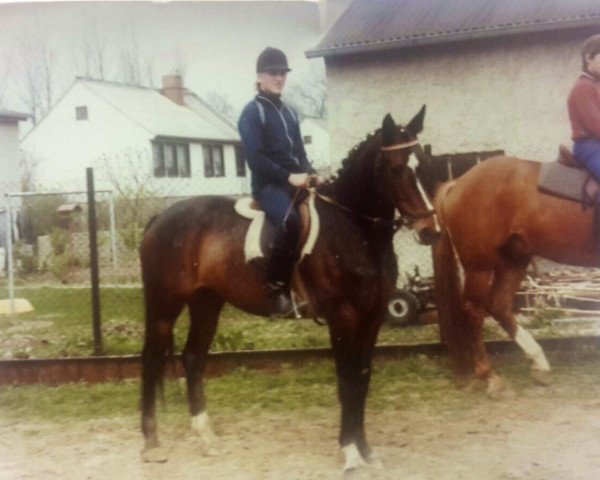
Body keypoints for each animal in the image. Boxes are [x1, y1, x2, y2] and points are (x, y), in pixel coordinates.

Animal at [141, 106, 440, 472]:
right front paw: (350, 453)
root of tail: (159, 218)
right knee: (151, 359)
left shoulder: (372, 317)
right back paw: (152, 443)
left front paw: (367, 450)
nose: (430, 231)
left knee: (193, 359)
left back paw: (207, 439)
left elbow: (363, 378)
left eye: (424, 164)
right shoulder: (343, 317)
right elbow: (347, 381)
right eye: (397, 169)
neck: (351, 226)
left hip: (206, 303)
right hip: (164, 304)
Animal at [432, 156, 596, 396]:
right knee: (475, 310)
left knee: (499, 306)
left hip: (514, 259)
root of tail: (458, 183)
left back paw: (538, 363)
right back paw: (489, 375)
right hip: (480, 267)